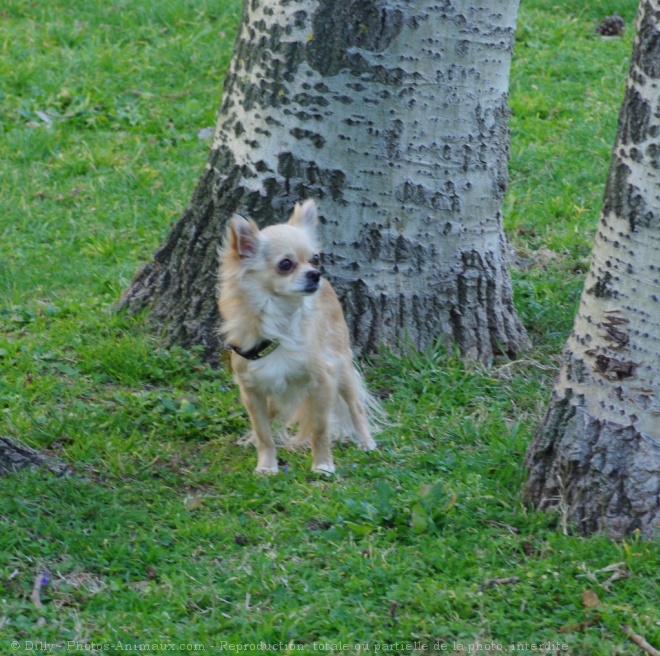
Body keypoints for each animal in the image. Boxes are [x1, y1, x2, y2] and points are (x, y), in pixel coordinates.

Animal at [219, 197, 378, 474]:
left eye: (315, 259)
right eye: (285, 264)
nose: (315, 274)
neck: (280, 323)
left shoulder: (323, 380)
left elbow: (320, 429)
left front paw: (323, 464)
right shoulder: (252, 391)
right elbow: (264, 432)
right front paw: (266, 465)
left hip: (342, 365)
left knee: (354, 406)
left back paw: (366, 442)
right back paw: (250, 440)